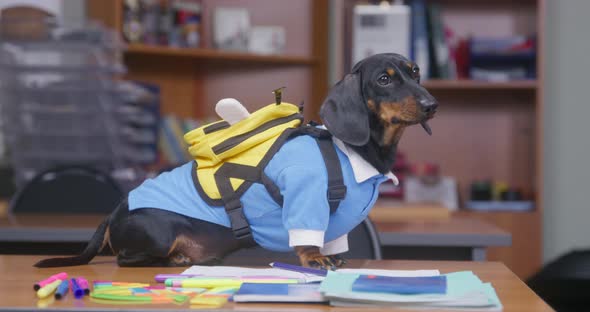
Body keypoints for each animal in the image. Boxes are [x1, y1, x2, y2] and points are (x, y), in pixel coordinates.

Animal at [34, 52, 438, 270]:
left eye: (415, 71)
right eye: (384, 79)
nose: (432, 104)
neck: (352, 152)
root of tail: (114, 211)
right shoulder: (304, 196)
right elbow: (307, 239)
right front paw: (314, 260)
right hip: (159, 232)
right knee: (126, 259)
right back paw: (178, 260)